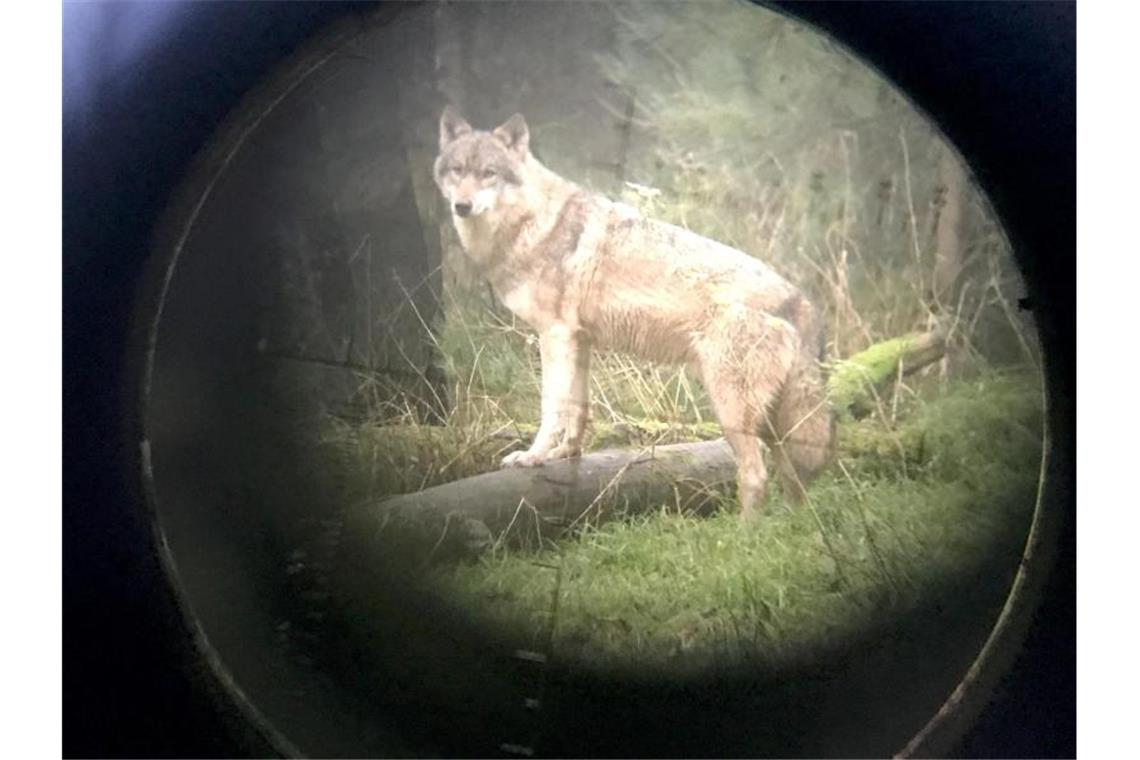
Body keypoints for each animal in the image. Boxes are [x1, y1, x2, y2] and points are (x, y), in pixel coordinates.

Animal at [430, 107, 834, 519]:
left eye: (489, 173)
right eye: (458, 170)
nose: (462, 206)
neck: (533, 222)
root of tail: (801, 301)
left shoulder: (554, 336)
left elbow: (552, 407)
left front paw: (533, 457)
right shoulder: (579, 340)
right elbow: (578, 407)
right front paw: (566, 454)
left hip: (732, 411)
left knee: (756, 476)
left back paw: (745, 533)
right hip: (771, 423)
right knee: (794, 481)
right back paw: (790, 526)